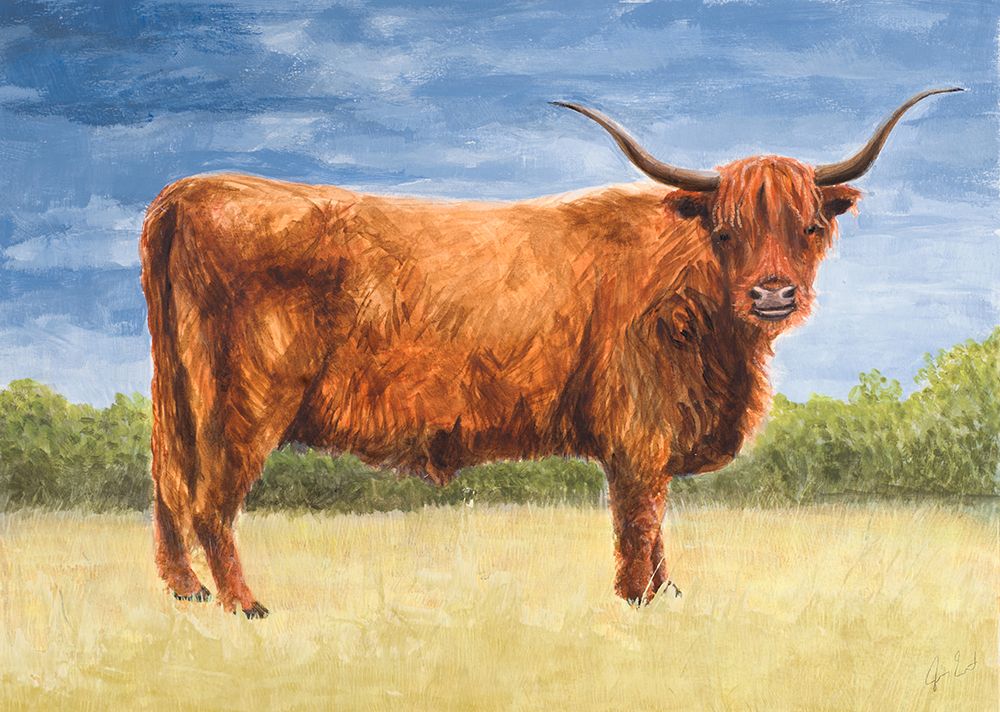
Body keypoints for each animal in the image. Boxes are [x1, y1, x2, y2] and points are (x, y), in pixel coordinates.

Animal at [140, 88, 959, 617]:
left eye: (811, 227)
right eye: (726, 229)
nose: (774, 295)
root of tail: (191, 191)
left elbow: (658, 528)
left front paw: (667, 596)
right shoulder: (638, 438)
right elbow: (638, 523)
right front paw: (636, 604)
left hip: (178, 396)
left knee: (168, 486)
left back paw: (186, 592)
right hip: (242, 403)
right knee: (210, 500)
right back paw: (244, 604)